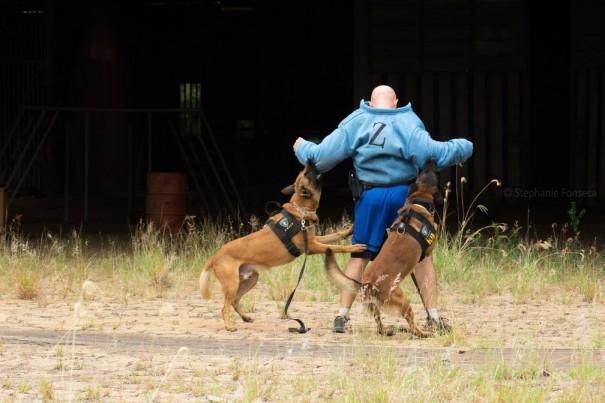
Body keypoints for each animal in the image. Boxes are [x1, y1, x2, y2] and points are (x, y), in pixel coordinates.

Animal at [201, 159, 366, 332]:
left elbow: (335, 235)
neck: (300, 212)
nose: (310, 160)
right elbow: (337, 247)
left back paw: (245, 317)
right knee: (224, 307)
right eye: (307, 173)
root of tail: (215, 257)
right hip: (232, 284)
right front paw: (354, 247)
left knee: (234, 301)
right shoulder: (312, 247)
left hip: (250, 280)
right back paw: (229, 325)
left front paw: (349, 230)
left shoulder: (314, 240)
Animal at [324, 158, 442, 338]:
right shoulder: (427, 251)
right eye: (431, 171)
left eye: (424, 170)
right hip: (403, 302)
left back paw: (387, 331)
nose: (432, 159)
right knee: (413, 327)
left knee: (379, 326)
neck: (418, 202)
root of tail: (367, 285)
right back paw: (425, 333)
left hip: (375, 308)